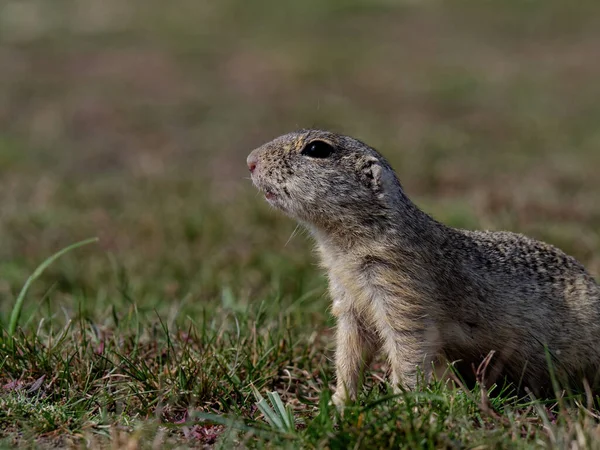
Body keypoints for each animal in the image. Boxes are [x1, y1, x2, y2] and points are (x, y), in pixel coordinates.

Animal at [245, 128, 600, 406]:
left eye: (317, 149)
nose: (250, 160)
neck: (342, 248)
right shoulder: (348, 302)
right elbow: (349, 353)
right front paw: (340, 401)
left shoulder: (401, 291)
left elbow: (408, 348)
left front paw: (403, 405)